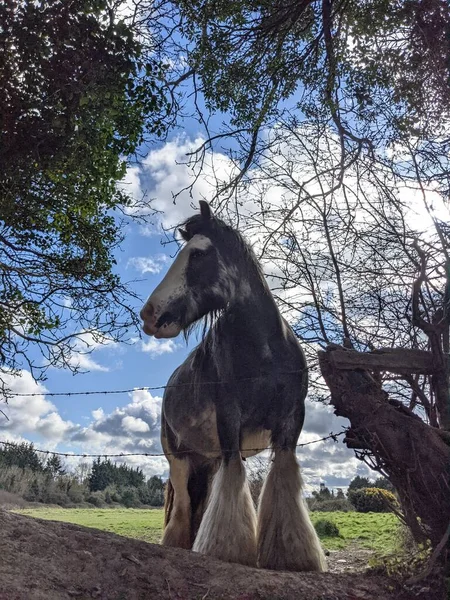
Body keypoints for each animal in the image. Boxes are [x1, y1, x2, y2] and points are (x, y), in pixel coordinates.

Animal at [139, 202, 326, 572]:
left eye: (198, 254)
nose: (149, 314)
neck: (264, 353)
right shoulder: (229, 421)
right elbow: (233, 485)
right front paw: (226, 550)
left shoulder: (290, 423)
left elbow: (282, 486)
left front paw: (294, 556)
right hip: (179, 458)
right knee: (182, 509)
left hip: (206, 461)